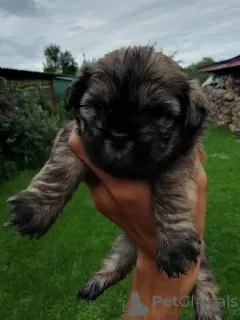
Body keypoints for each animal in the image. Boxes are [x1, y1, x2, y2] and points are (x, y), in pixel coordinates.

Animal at [7, 45, 221, 320]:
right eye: (98, 105)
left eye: (158, 113)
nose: (119, 135)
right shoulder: (74, 139)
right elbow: (58, 169)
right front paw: (34, 210)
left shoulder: (179, 158)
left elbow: (172, 193)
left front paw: (174, 244)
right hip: (123, 247)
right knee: (116, 264)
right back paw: (94, 285)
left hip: (198, 254)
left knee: (204, 280)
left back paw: (208, 310)